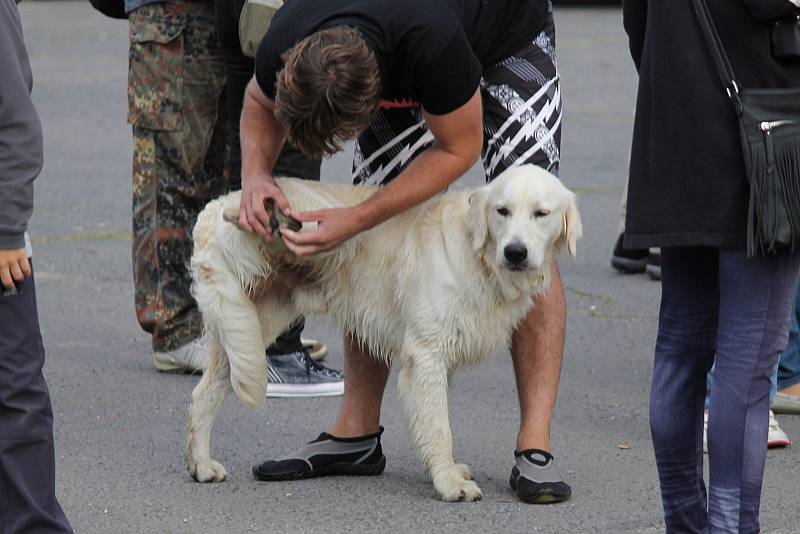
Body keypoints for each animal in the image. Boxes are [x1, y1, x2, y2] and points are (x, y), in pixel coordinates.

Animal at [186, 165, 580, 504]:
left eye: (541, 214)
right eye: (502, 211)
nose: (515, 252)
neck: (477, 256)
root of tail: (221, 204)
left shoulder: (442, 360)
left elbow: (436, 419)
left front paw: (449, 471)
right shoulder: (426, 355)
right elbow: (440, 428)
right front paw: (450, 483)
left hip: (247, 331)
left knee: (204, 393)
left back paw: (201, 466)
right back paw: (273, 217)